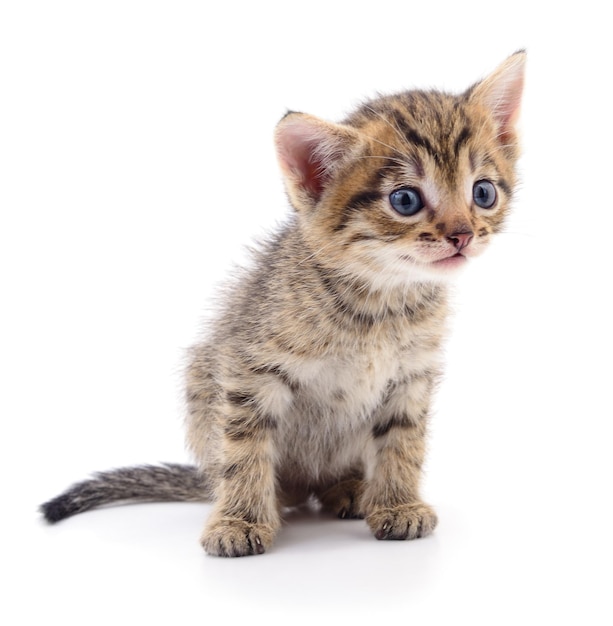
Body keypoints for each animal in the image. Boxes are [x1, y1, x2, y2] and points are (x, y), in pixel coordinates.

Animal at [40, 52, 524, 556]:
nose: (463, 235)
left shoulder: (411, 377)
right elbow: (245, 447)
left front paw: (397, 504)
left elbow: (403, 441)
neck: (380, 300)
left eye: (483, 192)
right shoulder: (249, 368)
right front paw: (239, 520)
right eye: (405, 199)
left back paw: (350, 488)